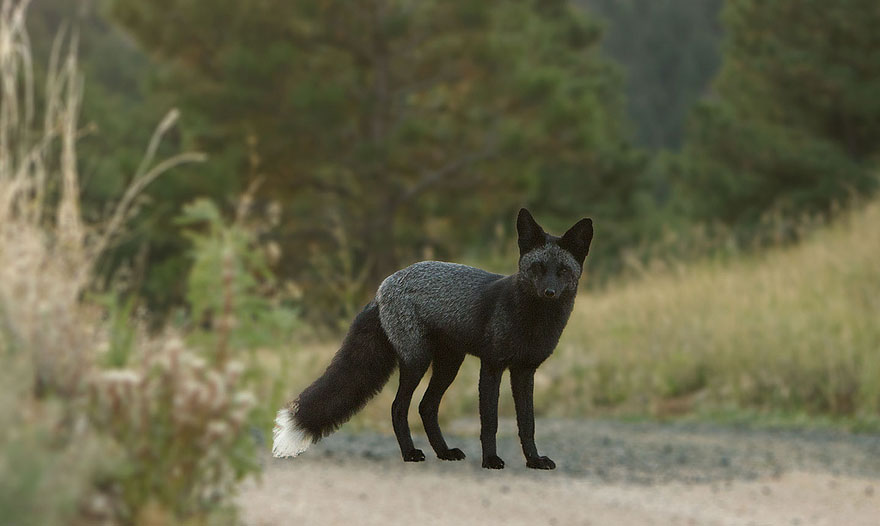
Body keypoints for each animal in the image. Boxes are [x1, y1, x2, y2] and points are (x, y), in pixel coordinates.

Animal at [272, 208, 593, 470]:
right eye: (537, 268)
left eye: (563, 271)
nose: (549, 292)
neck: (531, 323)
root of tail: (383, 286)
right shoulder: (491, 366)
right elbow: (490, 421)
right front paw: (490, 460)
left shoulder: (525, 371)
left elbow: (528, 424)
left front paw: (534, 460)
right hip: (417, 361)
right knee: (399, 407)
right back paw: (410, 454)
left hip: (449, 365)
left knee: (426, 407)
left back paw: (444, 453)